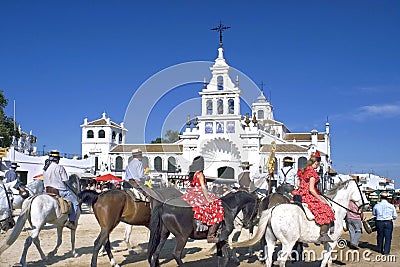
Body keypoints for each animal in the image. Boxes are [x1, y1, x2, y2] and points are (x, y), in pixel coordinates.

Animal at [230, 176, 370, 267]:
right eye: (362, 191)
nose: (368, 205)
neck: (336, 208)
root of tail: (273, 210)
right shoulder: (333, 241)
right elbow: (325, 260)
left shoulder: (328, 243)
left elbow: (328, 260)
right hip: (288, 242)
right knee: (281, 259)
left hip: (270, 239)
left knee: (269, 259)